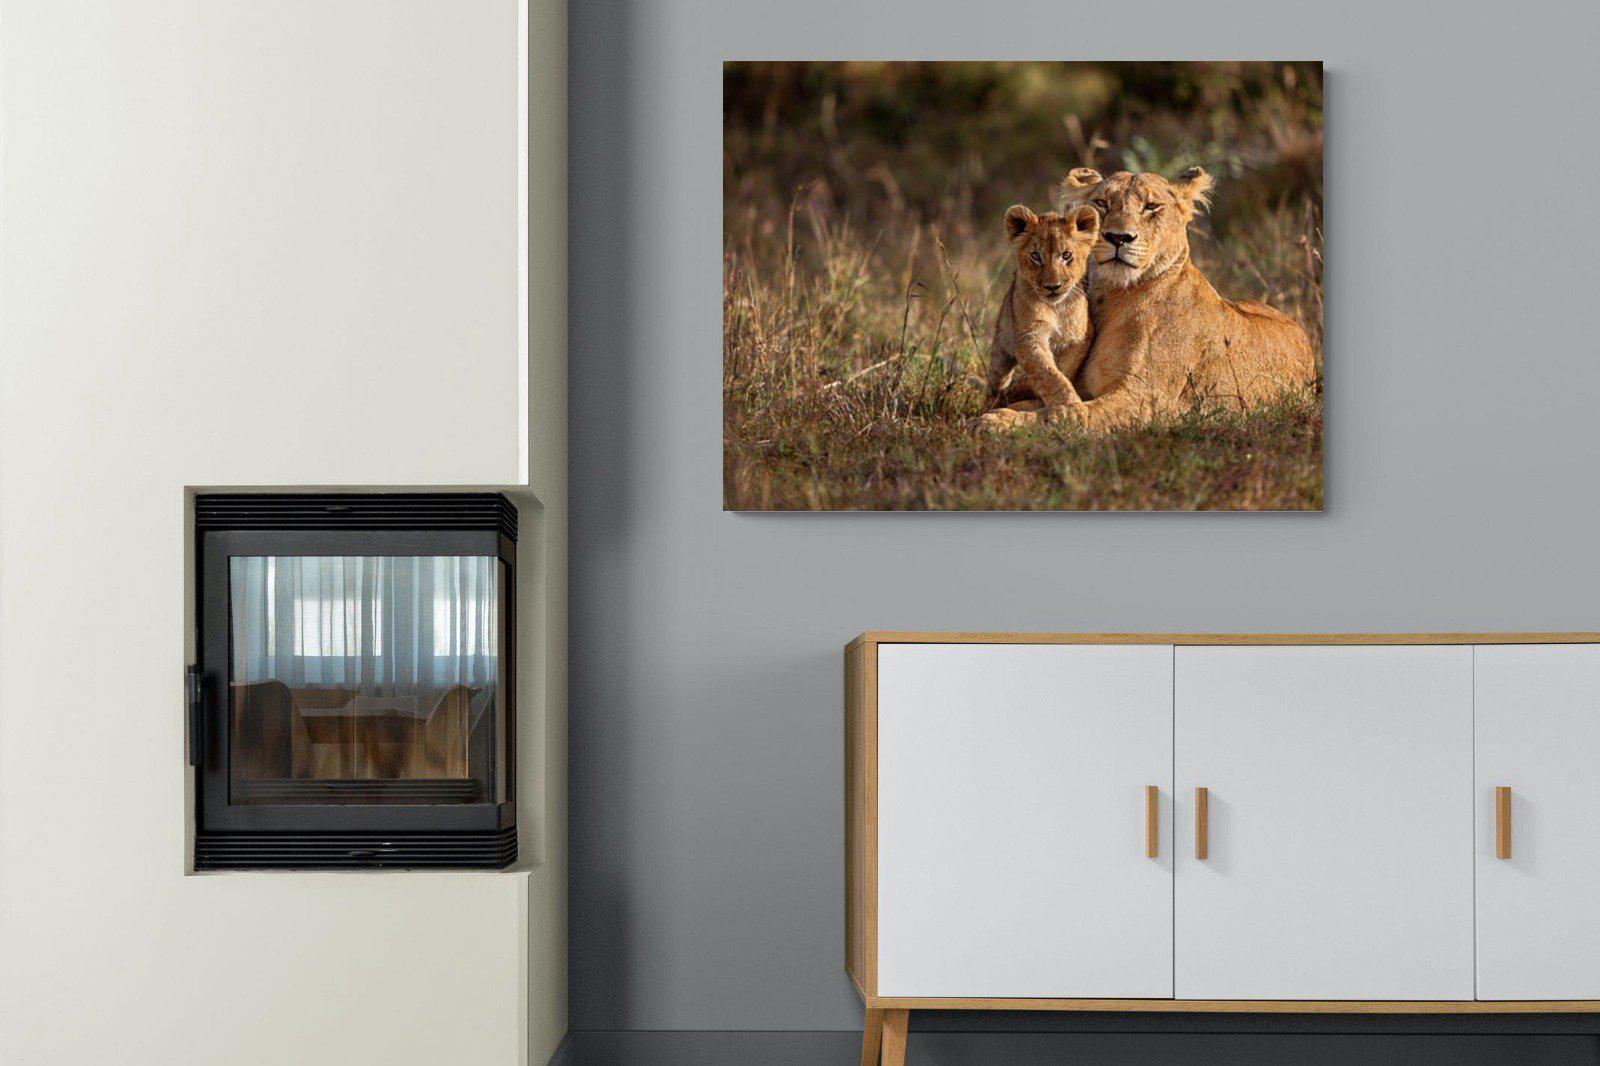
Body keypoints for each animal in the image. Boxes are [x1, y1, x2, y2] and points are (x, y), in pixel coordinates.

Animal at [983, 203, 1101, 419]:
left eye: (1066, 255)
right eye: (1036, 256)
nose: (1052, 287)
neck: (1057, 308)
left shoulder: (1081, 336)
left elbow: (1063, 369)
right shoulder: (1029, 337)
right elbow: (1049, 373)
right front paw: (1071, 408)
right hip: (1001, 347)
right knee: (996, 381)